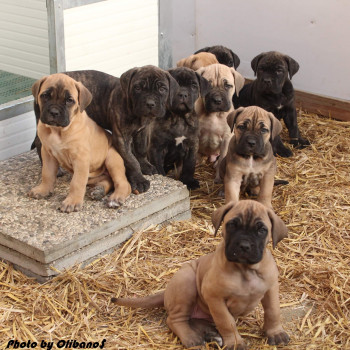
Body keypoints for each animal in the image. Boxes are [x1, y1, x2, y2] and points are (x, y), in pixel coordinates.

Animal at [27, 72, 131, 212]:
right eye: (45, 96)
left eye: (69, 100)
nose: (54, 112)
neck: (57, 131)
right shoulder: (47, 154)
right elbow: (47, 173)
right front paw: (43, 190)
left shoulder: (80, 159)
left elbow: (76, 182)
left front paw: (72, 201)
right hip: (93, 176)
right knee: (108, 180)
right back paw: (99, 190)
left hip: (112, 159)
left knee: (122, 183)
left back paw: (116, 198)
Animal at [31, 66, 179, 194]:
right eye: (137, 88)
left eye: (162, 89)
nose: (150, 103)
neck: (137, 115)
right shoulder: (121, 138)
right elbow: (131, 160)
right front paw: (139, 180)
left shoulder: (143, 131)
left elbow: (141, 150)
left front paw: (145, 165)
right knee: (40, 143)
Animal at [112, 200, 290, 350]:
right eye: (232, 225)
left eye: (262, 230)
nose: (244, 245)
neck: (245, 270)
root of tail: (166, 292)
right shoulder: (214, 297)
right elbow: (226, 322)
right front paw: (235, 342)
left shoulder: (271, 289)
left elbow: (273, 311)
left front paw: (276, 333)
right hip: (187, 282)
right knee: (175, 319)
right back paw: (192, 339)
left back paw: (211, 335)